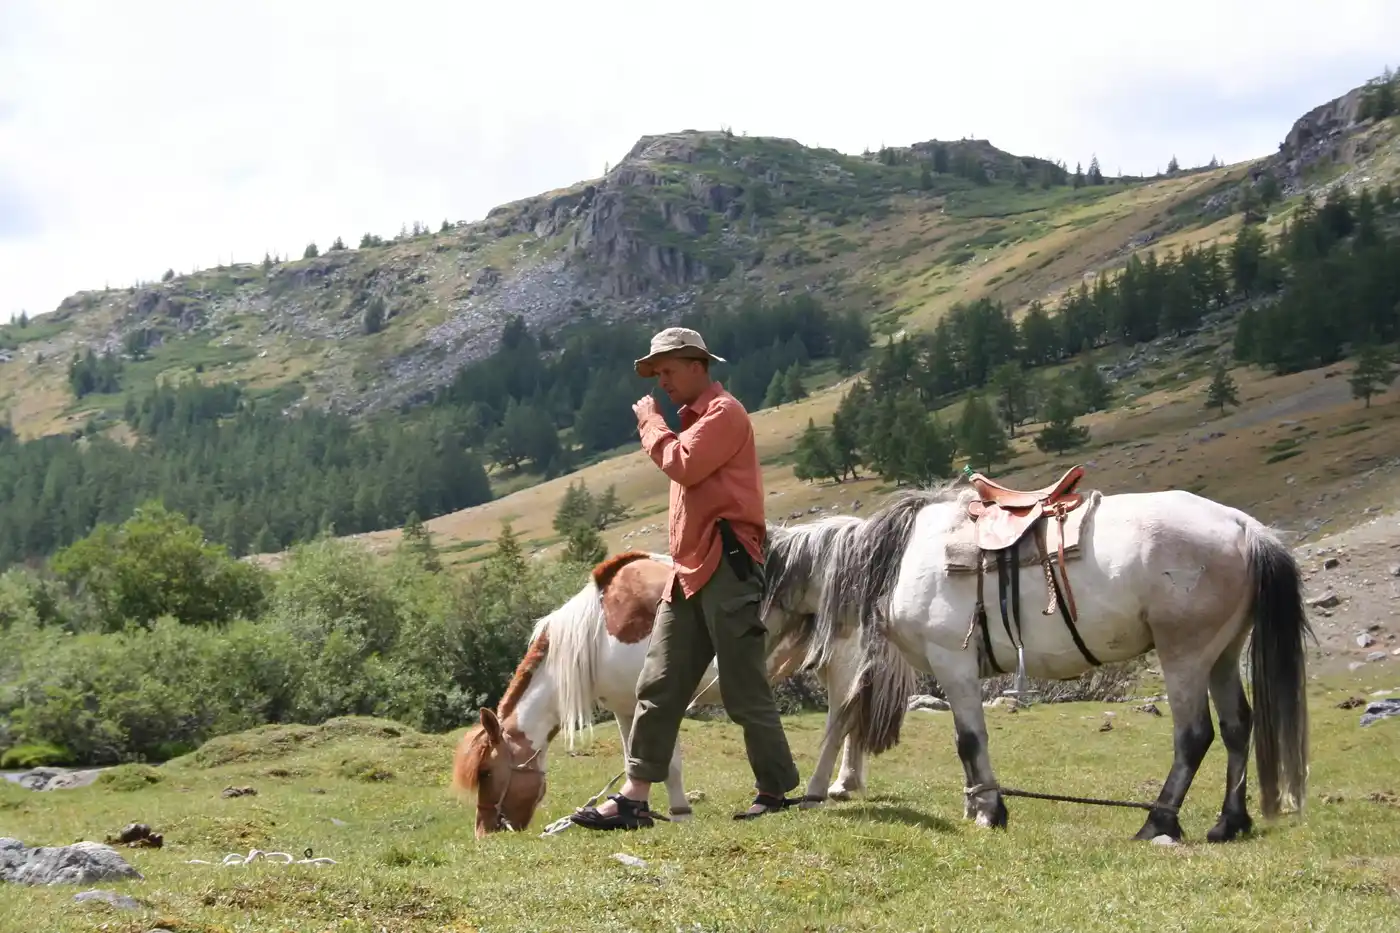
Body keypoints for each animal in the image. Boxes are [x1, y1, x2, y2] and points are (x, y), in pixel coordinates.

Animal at [451, 547, 917, 837]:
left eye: (487, 772)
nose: (484, 833)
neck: (598, 629)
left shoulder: (660, 690)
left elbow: (669, 758)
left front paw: (678, 813)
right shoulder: (626, 706)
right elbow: (636, 755)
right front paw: (630, 810)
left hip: (841, 665)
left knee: (839, 723)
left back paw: (817, 791)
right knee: (855, 722)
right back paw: (844, 784)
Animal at [758, 472, 1314, 844]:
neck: (901, 559)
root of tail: (1244, 527)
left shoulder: (953, 664)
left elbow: (968, 739)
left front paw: (989, 811)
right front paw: (976, 805)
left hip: (1186, 654)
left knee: (1195, 736)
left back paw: (1158, 822)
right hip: (1222, 653)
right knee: (1239, 727)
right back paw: (1229, 822)